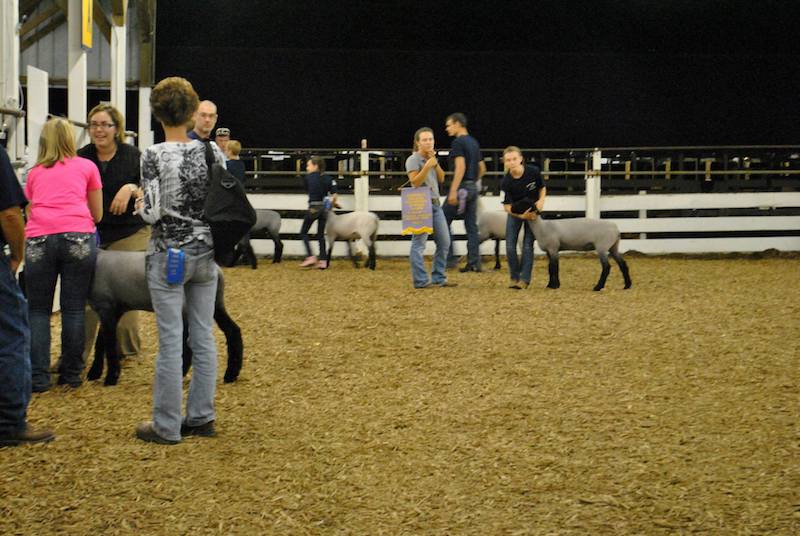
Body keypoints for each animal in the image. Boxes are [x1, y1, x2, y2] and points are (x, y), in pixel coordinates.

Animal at [86, 250, 244, 386]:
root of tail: (217, 270)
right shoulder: (115, 310)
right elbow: (101, 342)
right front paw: (94, 373)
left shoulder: (106, 306)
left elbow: (109, 344)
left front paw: (110, 378)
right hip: (214, 304)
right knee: (232, 330)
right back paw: (231, 374)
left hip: (185, 306)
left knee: (188, 342)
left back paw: (180, 374)